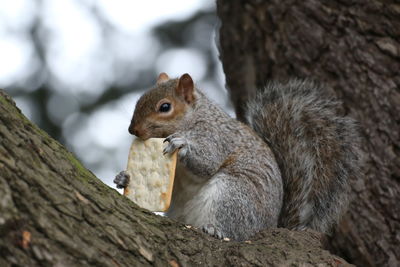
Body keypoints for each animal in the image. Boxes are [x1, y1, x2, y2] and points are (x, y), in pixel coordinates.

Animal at [113, 72, 362, 242]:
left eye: (165, 107)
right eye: (139, 101)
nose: (133, 130)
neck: (195, 118)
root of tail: (269, 226)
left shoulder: (217, 137)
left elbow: (207, 163)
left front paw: (181, 144)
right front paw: (124, 178)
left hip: (233, 194)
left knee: (234, 231)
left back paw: (215, 230)